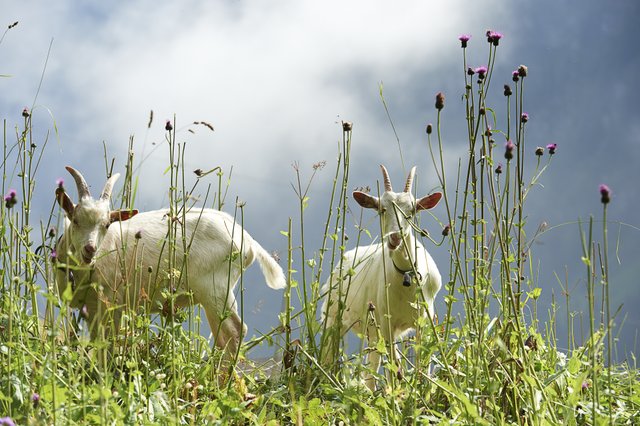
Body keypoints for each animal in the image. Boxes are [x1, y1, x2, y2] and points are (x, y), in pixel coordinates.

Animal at [55, 166, 284, 356]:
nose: (90, 249)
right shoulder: (92, 309)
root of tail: (247, 241)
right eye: (75, 220)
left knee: (234, 331)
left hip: (215, 288)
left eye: (106, 225)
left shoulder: (112, 303)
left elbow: (109, 343)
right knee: (223, 337)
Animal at [322, 166, 442, 390]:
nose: (395, 237)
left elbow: (422, 363)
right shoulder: (387, 323)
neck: (406, 278)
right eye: (381, 209)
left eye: (411, 212)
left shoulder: (424, 321)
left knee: (371, 369)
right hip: (333, 319)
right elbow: (394, 367)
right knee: (329, 354)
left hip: (371, 330)